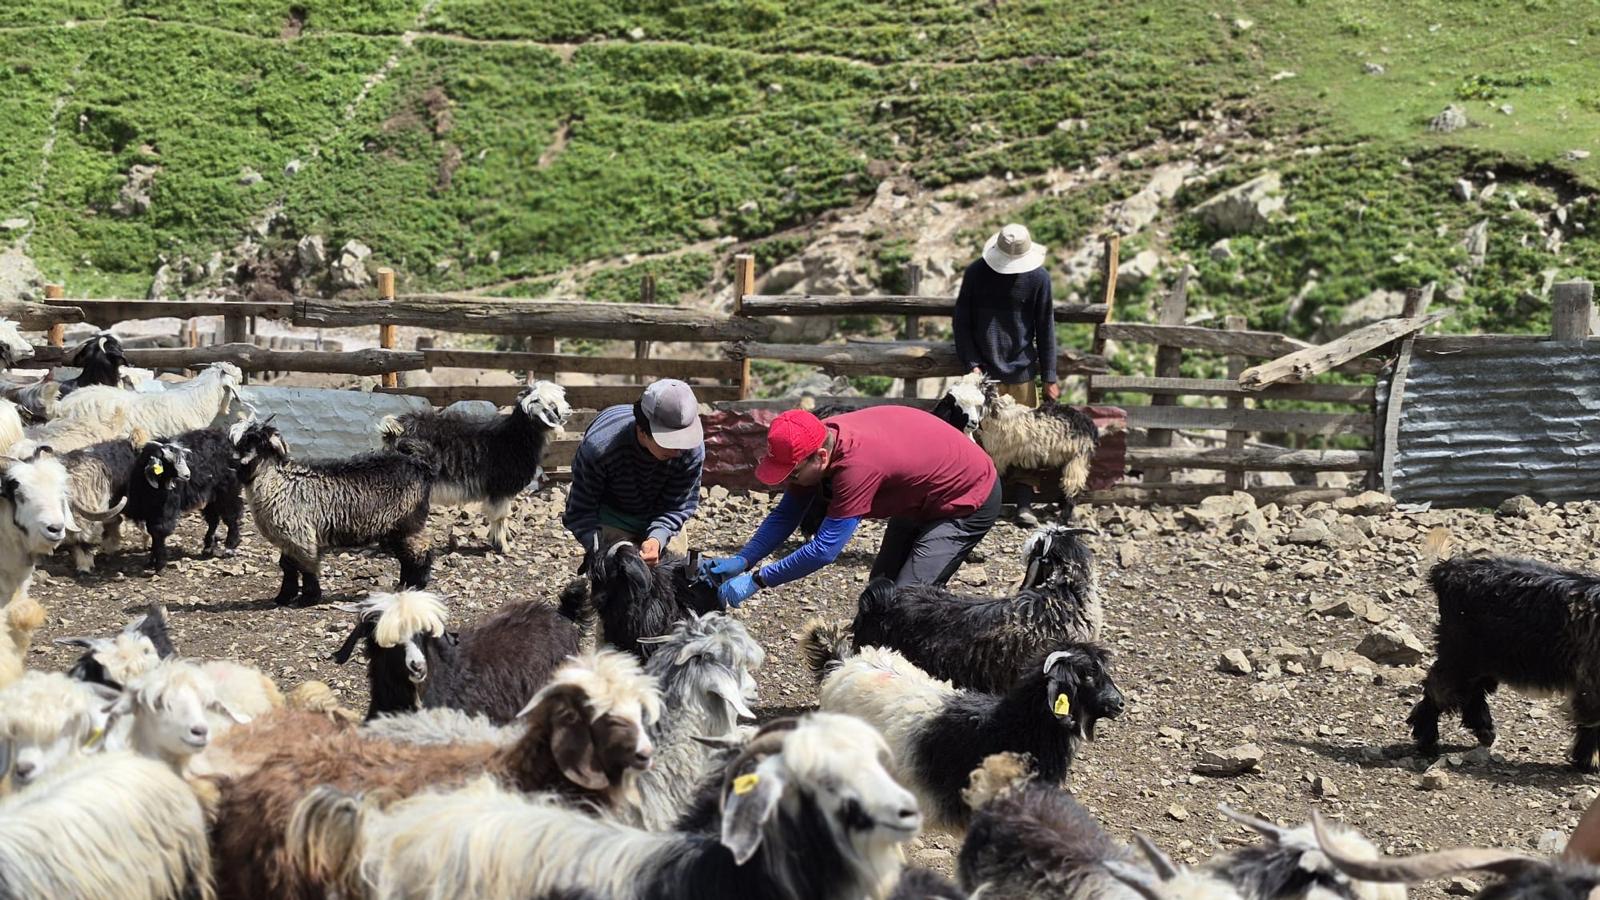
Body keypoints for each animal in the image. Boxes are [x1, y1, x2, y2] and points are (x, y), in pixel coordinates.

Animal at [125, 428, 244, 571]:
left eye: (183, 458)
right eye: (168, 461)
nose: (187, 475)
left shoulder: (165, 509)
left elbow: (159, 531)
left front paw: (159, 564)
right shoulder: (150, 512)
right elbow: (152, 532)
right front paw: (151, 561)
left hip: (227, 489)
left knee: (231, 515)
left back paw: (230, 546)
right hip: (211, 495)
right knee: (213, 519)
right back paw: (208, 547)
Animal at [233, 418, 437, 606]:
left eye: (255, 441)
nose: (235, 464)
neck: (277, 480)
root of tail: (420, 465)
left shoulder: (300, 535)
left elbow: (306, 566)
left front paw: (308, 598)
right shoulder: (289, 538)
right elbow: (287, 566)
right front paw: (284, 597)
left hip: (408, 520)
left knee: (420, 551)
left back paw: (418, 584)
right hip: (393, 526)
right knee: (405, 555)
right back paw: (403, 586)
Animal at [377, 380, 571, 553]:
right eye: (551, 404)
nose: (569, 409)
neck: (514, 438)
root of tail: (397, 428)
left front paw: (504, 538)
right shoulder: (500, 490)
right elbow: (500, 516)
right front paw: (502, 546)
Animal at [932, 372, 1100, 521]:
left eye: (977, 403)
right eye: (957, 404)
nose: (973, 423)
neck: (995, 414)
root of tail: (1090, 425)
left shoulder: (998, 456)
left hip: (1078, 459)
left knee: (1073, 487)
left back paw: (1064, 517)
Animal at [1407, 529, 1600, 771]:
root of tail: (1445, 570)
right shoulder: (1591, 682)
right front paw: (1587, 762)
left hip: (1484, 658)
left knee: (1472, 690)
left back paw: (1484, 731)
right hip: (1460, 653)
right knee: (1440, 688)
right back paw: (1427, 741)